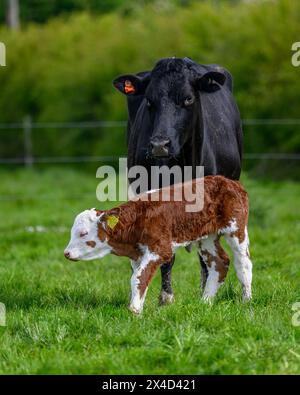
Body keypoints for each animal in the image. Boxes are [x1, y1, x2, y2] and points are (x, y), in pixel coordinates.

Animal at [64, 176, 252, 316]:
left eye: (83, 233)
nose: (66, 253)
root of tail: (230, 181)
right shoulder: (138, 253)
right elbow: (139, 277)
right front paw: (138, 307)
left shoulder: (160, 248)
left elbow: (139, 277)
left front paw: (134, 310)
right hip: (207, 236)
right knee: (220, 263)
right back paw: (205, 302)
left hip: (236, 228)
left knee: (243, 264)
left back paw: (246, 301)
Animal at [113, 57, 243, 306]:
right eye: (149, 100)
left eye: (188, 98)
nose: (159, 144)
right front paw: (166, 297)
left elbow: (206, 256)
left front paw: (206, 295)